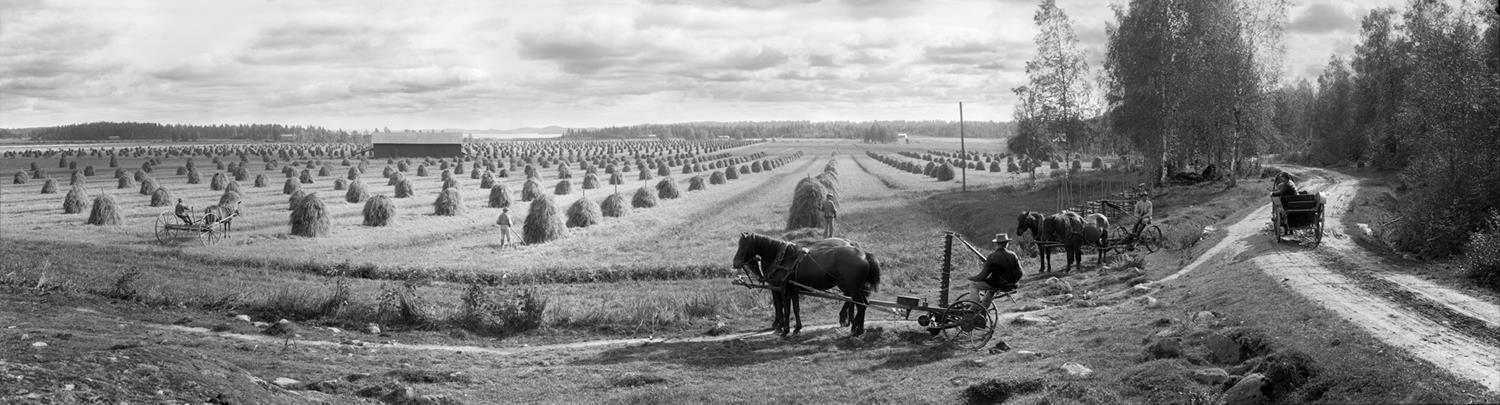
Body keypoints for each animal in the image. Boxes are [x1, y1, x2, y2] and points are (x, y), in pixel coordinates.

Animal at [735, 232, 882, 337]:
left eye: (743, 246)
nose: (735, 263)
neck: (783, 259)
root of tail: (864, 254)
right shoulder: (793, 288)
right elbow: (795, 308)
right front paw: (796, 328)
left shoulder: (783, 288)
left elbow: (785, 308)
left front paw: (784, 329)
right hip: (854, 288)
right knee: (862, 303)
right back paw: (856, 327)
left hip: (851, 287)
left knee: (860, 305)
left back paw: (854, 327)